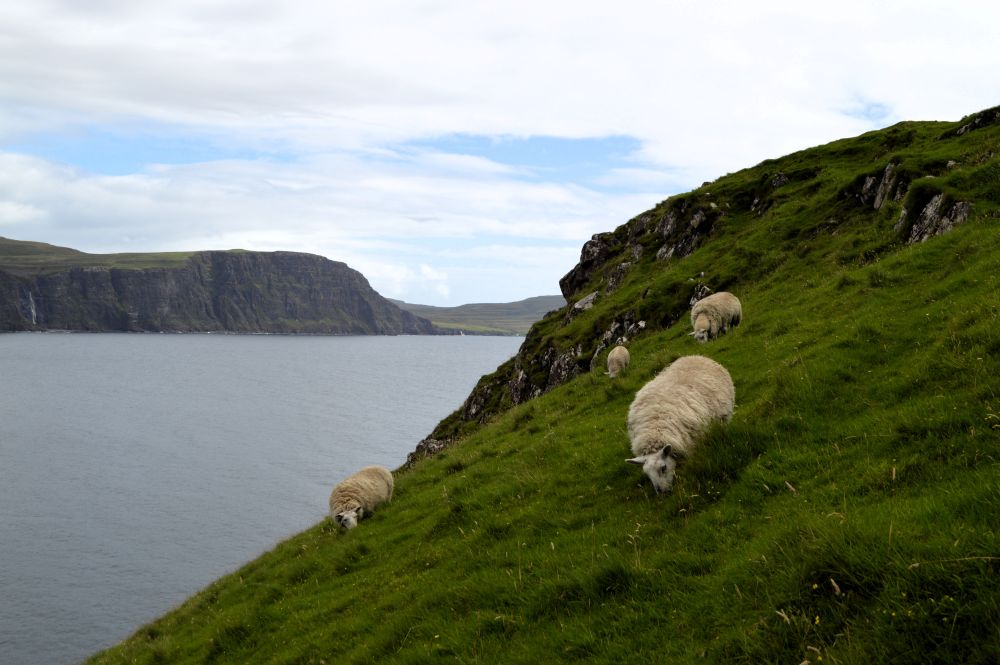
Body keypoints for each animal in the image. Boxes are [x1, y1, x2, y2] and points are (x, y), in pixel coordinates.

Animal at [625, 355, 734, 493]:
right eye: (647, 474)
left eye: (663, 467)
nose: (662, 493)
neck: (654, 430)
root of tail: (695, 356)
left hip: (725, 415)